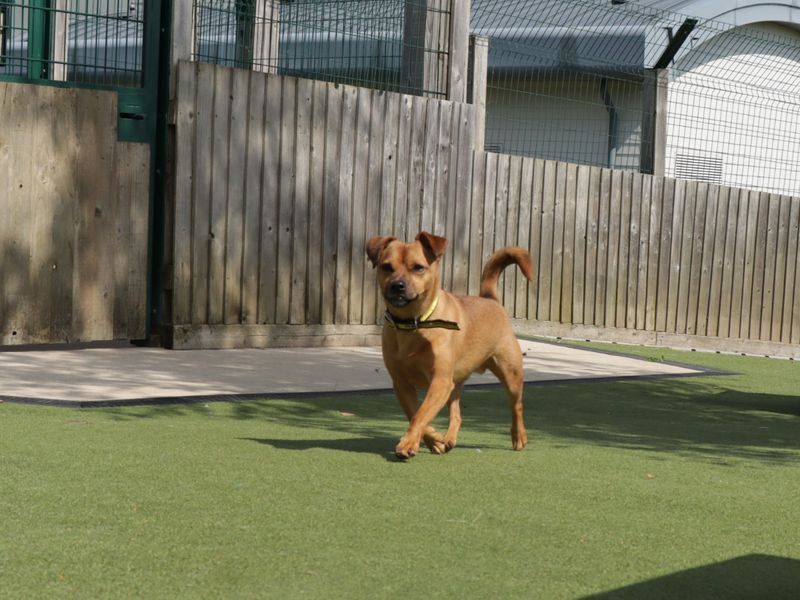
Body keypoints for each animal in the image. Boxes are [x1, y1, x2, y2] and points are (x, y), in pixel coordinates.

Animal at [368, 231, 532, 460]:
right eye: (386, 267)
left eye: (418, 267)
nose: (397, 285)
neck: (414, 323)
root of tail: (490, 300)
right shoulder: (402, 384)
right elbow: (416, 413)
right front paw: (434, 440)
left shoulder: (439, 381)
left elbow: (421, 414)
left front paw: (409, 443)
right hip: (454, 385)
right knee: (457, 415)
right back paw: (448, 438)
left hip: (511, 374)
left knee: (517, 406)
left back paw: (519, 436)